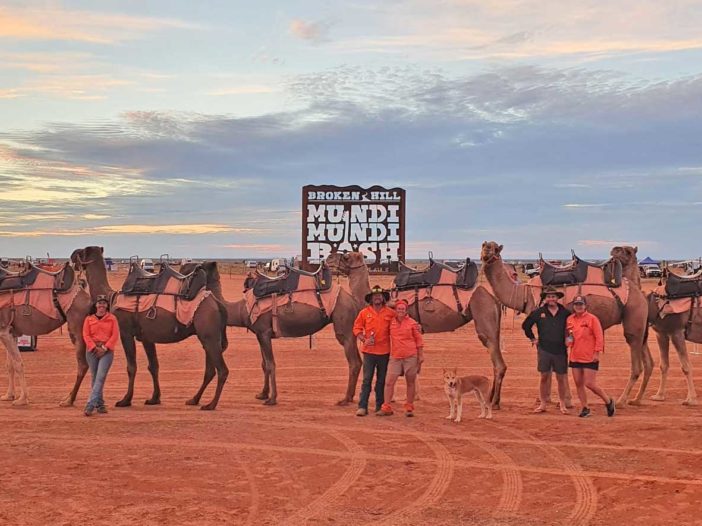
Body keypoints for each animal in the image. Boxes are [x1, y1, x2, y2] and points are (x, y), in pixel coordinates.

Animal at [0, 264, 92, 408]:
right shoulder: (10, 332)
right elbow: (10, 365)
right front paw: (8, 396)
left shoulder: (4, 330)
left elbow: (18, 364)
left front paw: (22, 399)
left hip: (77, 329)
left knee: (83, 365)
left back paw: (69, 401)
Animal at [69, 248, 228, 412]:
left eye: (82, 251)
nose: (72, 255)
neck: (111, 297)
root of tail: (217, 304)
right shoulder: (147, 337)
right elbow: (153, 366)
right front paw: (154, 398)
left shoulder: (125, 332)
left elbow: (131, 367)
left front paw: (125, 400)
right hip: (208, 337)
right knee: (210, 370)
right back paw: (194, 399)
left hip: (209, 334)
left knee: (222, 370)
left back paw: (211, 404)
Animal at [182, 262, 364, 406]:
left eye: (192, 270)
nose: (183, 289)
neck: (241, 309)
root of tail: (353, 301)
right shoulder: (259, 335)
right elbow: (264, 365)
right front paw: (262, 394)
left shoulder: (264, 332)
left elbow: (271, 364)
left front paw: (272, 399)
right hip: (350, 328)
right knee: (359, 361)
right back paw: (350, 397)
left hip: (343, 326)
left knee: (354, 362)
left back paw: (344, 399)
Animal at [328, 254, 508, 410]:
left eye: (346, 256)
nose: (329, 258)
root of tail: (494, 298)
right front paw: (413, 397)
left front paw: (399, 398)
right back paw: (492, 398)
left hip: (484, 318)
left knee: (498, 362)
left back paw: (494, 402)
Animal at [484, 241, 656, 406]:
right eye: (484, 245)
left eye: (495, 248)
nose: (486, 251)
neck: (525, 293)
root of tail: (640, 294)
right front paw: (554, 399)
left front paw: (553, 399)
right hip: (641, 328)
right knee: (648, 362)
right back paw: (636, 400)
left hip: (634, 321)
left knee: (637, 365)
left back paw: (621, 401)